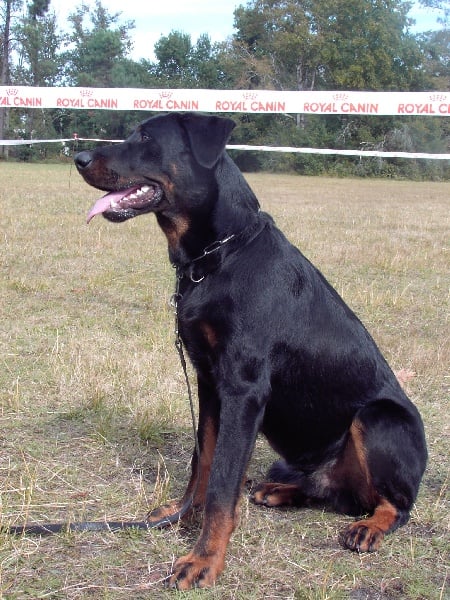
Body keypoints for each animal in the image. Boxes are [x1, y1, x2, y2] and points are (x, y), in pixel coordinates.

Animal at [74, 113, 426, 592]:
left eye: (145, 138)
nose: (78, 157)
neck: (219, 255)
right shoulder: (209, 383)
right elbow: (202, 460)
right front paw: (182, 515)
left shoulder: (243, 390)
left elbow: (223, 483)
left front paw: (204, 559)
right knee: (335, 493)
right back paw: (279, 491)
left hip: (379, 417)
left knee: (393, 505)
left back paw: (369, 528)